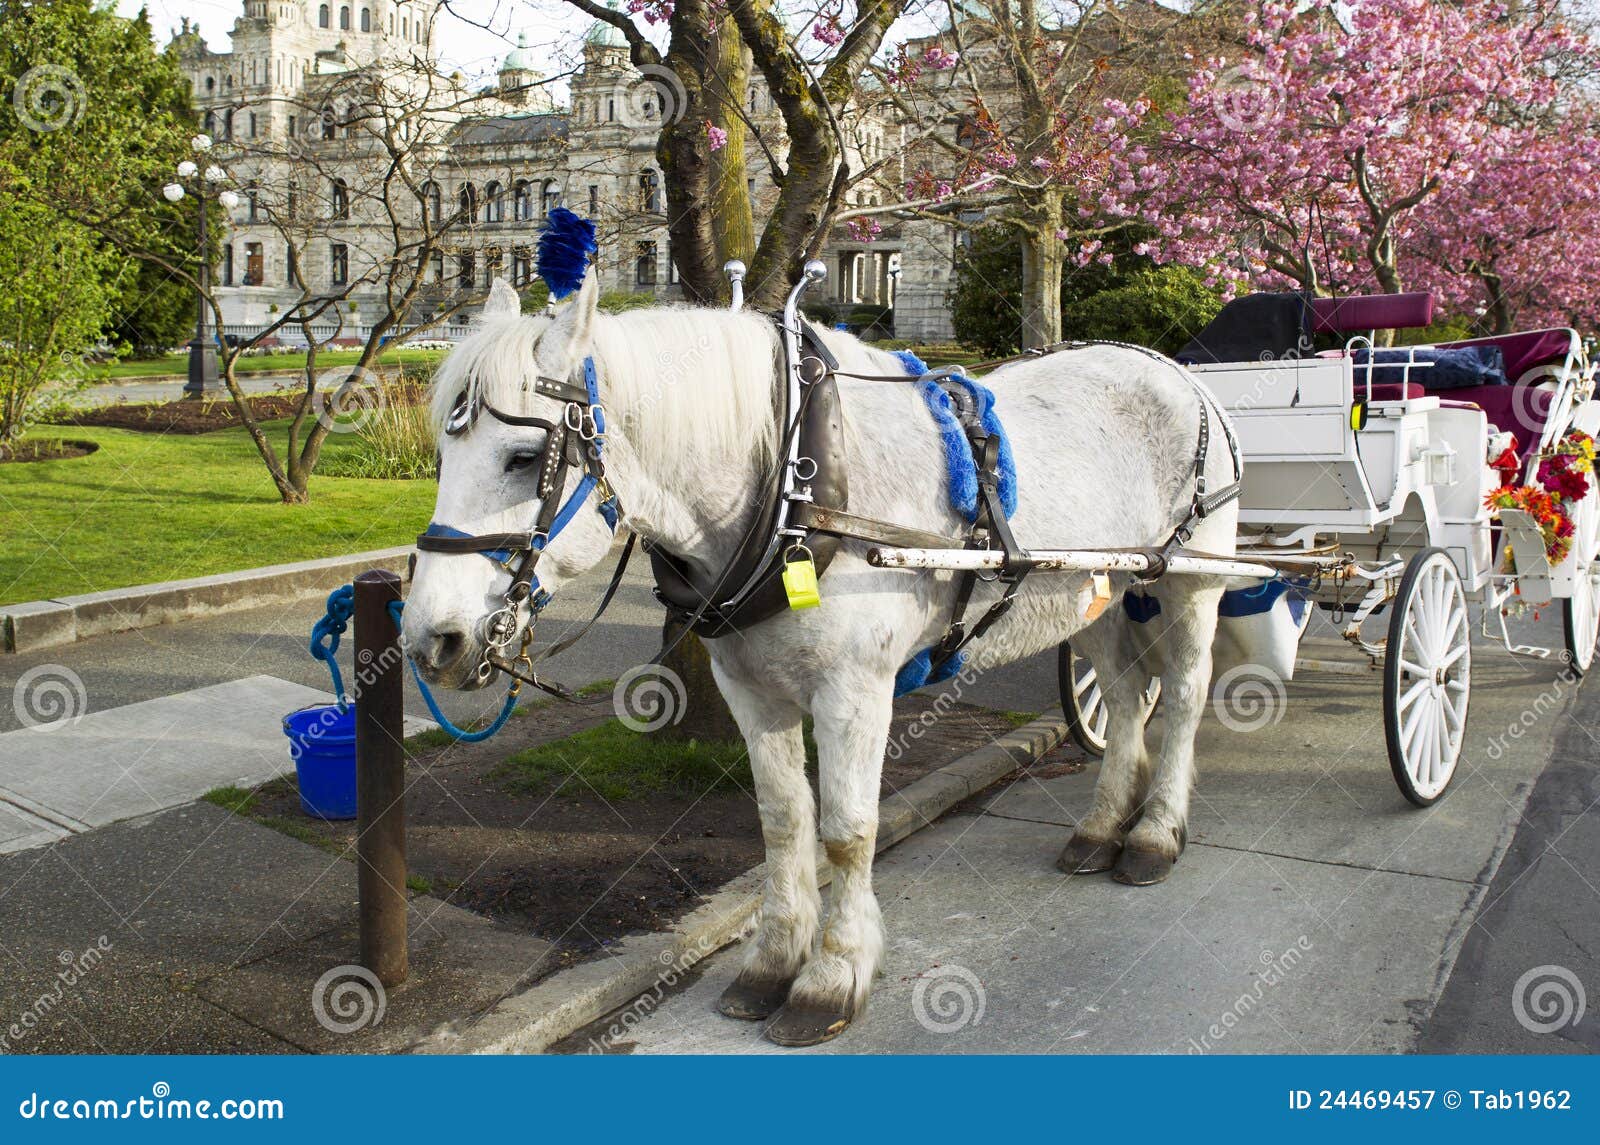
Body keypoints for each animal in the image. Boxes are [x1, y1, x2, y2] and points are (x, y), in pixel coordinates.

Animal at [400, 270, 1235, 1049]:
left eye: (523, 457)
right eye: (440, 453)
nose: (430, 640)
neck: (793, 492)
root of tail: (1177, 372)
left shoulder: (854, 691)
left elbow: (847, 829)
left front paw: (832, 976)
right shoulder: (751, 690)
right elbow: (781, 820)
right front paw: (773, 961)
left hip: (1191, 581)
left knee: (1183, 695)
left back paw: (1155, 833)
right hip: (1095, 588)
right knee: (1123, 698)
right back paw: (1101, 827)